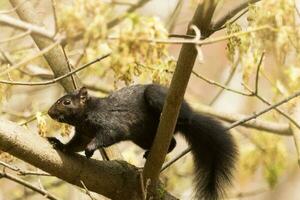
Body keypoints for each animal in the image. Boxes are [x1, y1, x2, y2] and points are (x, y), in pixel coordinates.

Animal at [47, 83, 237, 199]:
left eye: (66, 102)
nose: (49, 112)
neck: (86, 116)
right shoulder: (83, 134)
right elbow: (75, 145)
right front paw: (60, 145)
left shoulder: (111, 123)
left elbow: (109, 134)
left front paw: (90, 148)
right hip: (142, 138)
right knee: (173, 143)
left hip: (158, 99)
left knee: (184, 120)